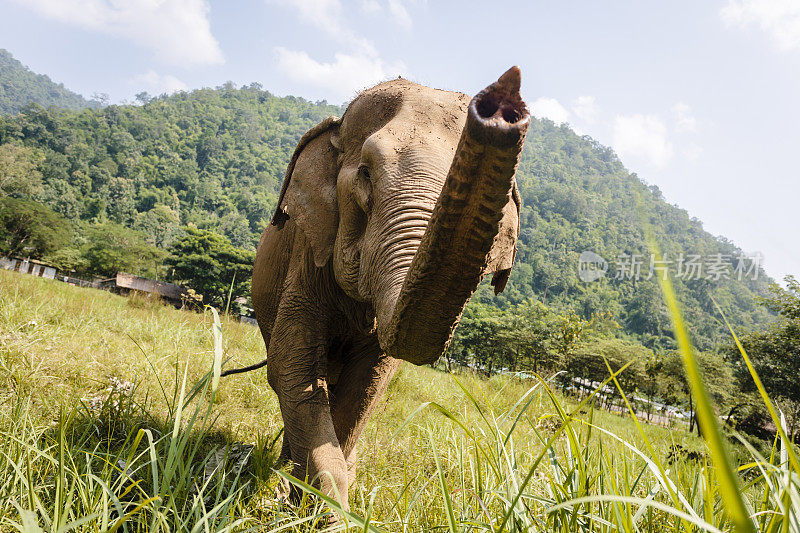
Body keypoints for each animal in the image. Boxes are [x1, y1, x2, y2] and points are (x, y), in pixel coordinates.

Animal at [223, 66, 532, 508]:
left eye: (505, 204)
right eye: (366, 175)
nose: (502, 103)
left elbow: (367, 385)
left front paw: (323, 502)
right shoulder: (309, 249)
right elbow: (292, 365)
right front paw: (318, 508)